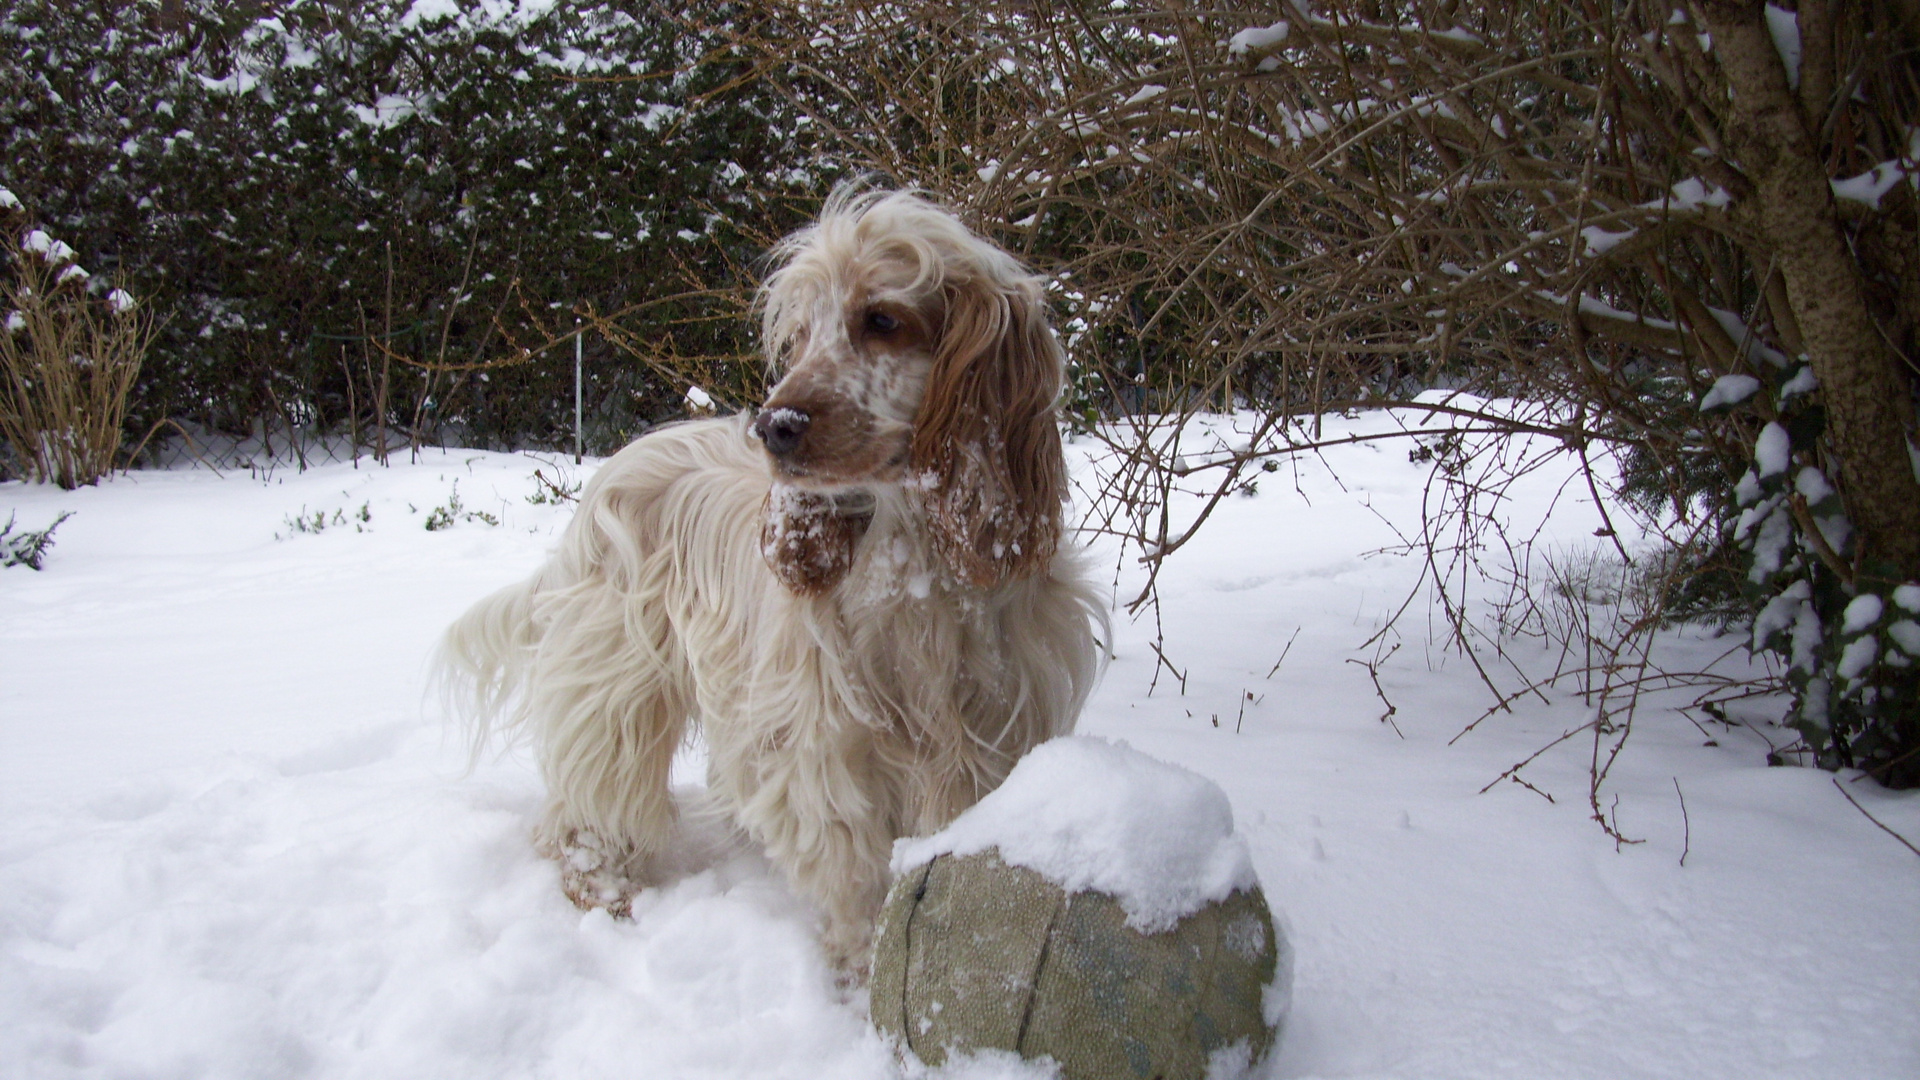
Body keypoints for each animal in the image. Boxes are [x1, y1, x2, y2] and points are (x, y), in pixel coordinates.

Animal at [432, 184, 1098, 968]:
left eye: (882, 319)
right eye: (800, 335)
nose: (775, 425)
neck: (913, 553)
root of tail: (615, 468)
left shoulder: (992, 737)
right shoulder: (830, 753)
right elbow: (856, 881)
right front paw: (859, 973)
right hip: (616, 678)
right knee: (589, 796)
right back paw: (601, 886)